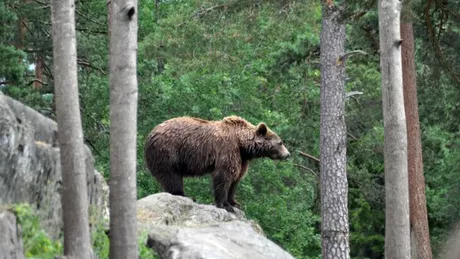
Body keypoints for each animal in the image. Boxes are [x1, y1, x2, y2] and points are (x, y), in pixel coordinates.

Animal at [144, 116, 290, 213]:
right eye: (280, 142)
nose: (288, 154)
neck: (242, 144)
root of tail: (150, 134)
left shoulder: (242, 159)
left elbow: (236, 178)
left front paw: (235, 203)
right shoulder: (228, 149)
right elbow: (224, 176)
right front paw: (225, 205)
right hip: (169, 151)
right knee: (171, 175)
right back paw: (184, 195)